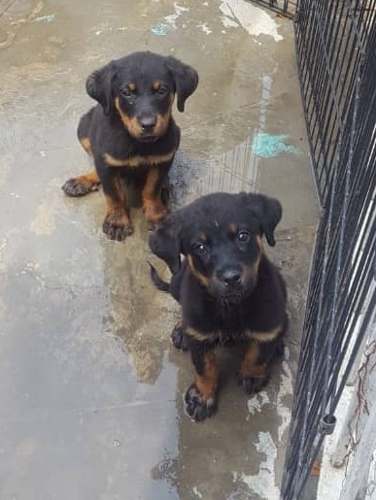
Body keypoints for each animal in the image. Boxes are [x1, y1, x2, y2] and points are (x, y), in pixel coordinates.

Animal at [62, 51, 198, 239]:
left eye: (161, 90)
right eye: (126, 92)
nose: (148, 124)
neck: (137, 142)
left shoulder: (163, 159)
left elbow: (152, 188)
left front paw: (156, 215)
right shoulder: (106, 162)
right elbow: (113, 194)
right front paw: (117, 221)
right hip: (83, 129)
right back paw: (81, 181)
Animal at [148, 191, 286, 422]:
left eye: (243, 236)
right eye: (200, 247)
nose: (231, 278)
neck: (231, 306)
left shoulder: (267, 323)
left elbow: (258, 354)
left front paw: (252, 374)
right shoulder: (200, 338)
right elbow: (205, 369)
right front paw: (202, 397)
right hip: (177, 281)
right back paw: (181, 331)